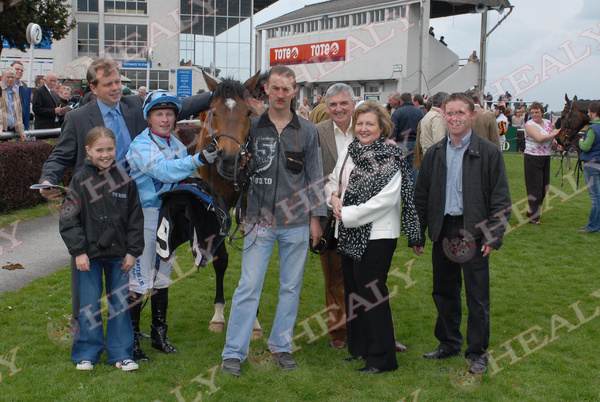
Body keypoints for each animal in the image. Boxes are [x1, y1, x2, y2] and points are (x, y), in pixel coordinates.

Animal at [192, 70, 262, 338]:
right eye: (214, 112)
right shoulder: (216, 201)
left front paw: (254, 319)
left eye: (249, 112)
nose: (230, 159)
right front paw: (219, 315)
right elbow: (220, 258)